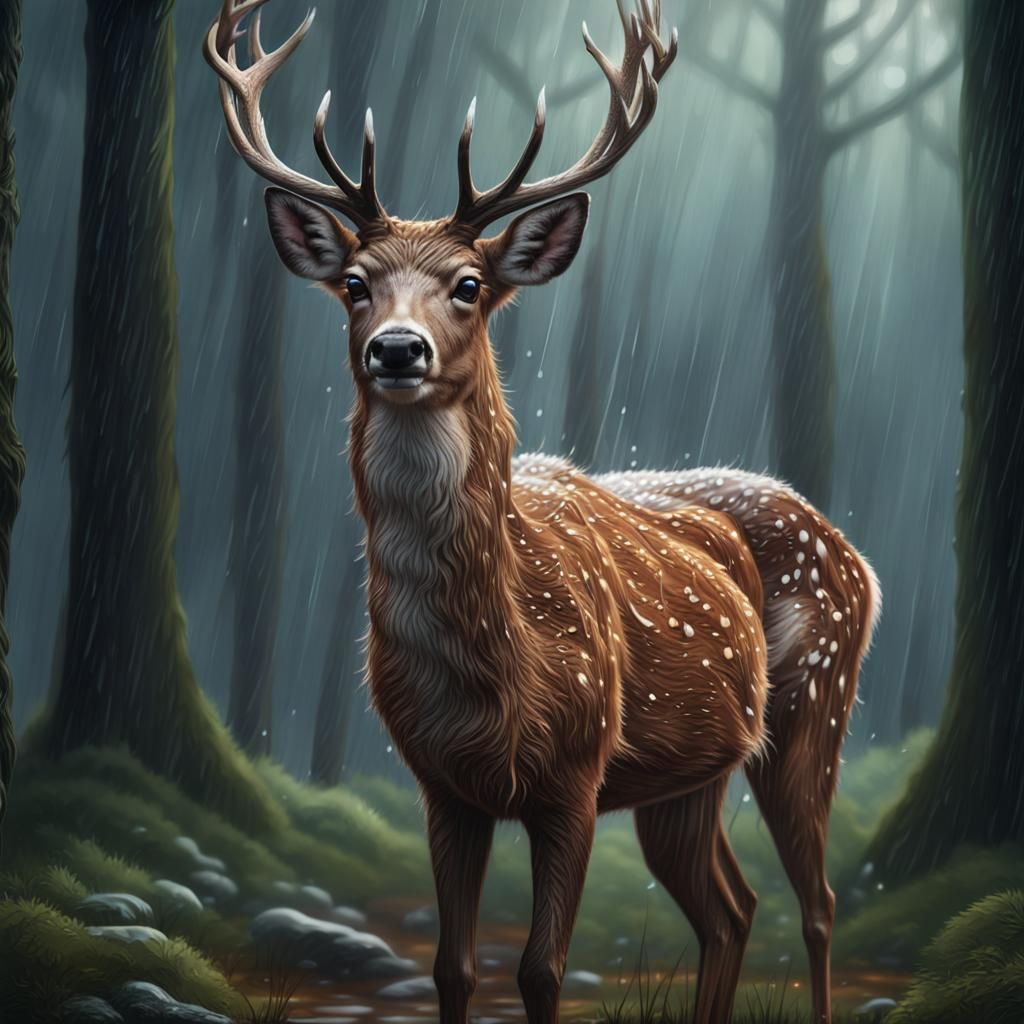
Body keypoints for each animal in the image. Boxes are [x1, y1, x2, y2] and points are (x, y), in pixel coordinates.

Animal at [205, 3, 881, 1023]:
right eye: (356, 284)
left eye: (469, 285)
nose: (396, 350)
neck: (496, 668)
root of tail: (859, 560)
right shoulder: (441, 784)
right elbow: (453, 966)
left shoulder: (576, 770)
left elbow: (540, 970)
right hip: (687, 776)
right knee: (731, 909)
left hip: (815, 703)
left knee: (817, 901)